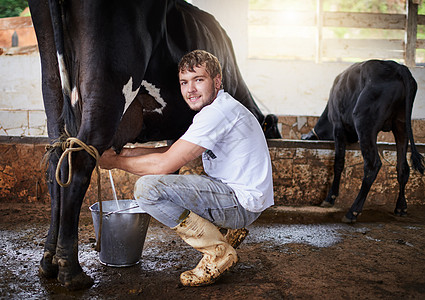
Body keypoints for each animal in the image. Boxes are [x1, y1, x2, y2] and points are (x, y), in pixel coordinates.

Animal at [300, 59, 422, 223]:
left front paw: (330, 197)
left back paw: (352, 212)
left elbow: (339, 163)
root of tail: (398, 67)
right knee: (402, 167)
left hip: (364, 122)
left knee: (372, 165)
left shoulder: (338, 126)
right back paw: (401, 207)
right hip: (401, 125)